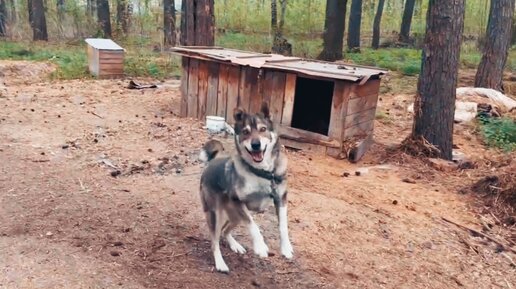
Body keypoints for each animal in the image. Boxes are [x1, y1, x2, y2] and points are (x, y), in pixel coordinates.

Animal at [199, 102, 292, 272]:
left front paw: (286, 248)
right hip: (216, 214)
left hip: (235, 216)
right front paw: (261, 247)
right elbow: (253, 225)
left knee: (225, 231)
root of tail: (212, 162)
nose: (256, 145)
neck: (262, 172)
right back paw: (220, 264)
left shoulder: (281, 199)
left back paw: (235, 245)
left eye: (263, 129)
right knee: (214, 241)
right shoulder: (238, 202)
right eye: (245, 132)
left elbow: (283, 225)